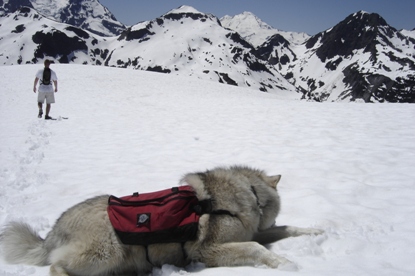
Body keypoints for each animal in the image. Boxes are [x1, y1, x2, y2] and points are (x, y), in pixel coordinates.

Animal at [0, 165, 324, 274]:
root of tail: (54, 230)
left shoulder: (252, 232)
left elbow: (289, 229)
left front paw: (319, 230)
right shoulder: (208, 250)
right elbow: (257, 249)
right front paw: (285, 264)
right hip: (105, 252)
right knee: (55, 267)